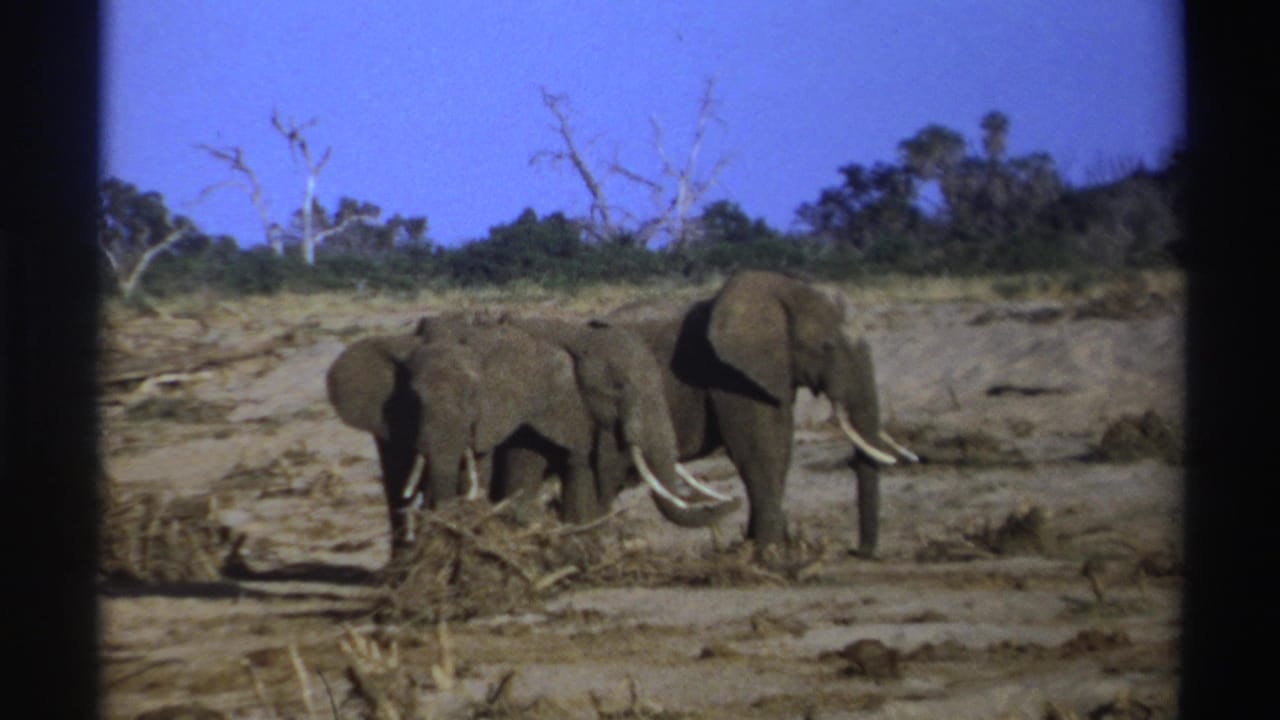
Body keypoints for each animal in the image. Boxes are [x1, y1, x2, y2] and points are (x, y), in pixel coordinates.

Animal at [609, 269, 918, 558]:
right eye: (827, 347)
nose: (859, 552)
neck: (781, 288)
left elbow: (780, 445)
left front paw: (761, 548)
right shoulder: (729, 376)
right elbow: (759, 451)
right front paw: (769, 554)